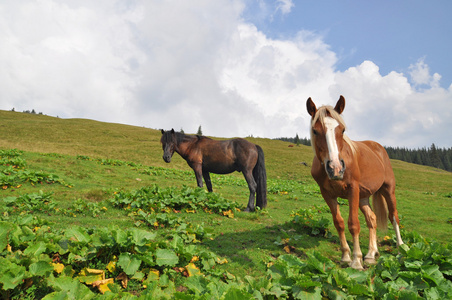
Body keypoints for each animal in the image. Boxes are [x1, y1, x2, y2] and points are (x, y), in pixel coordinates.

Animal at [306, 96, 404, 270]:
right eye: (315, 131)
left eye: (343, 130)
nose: (336, 168)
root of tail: (378, 148)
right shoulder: (327, 194)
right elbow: (339, 223)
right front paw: (346, 256)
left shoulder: (353, 189)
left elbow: (353, 224)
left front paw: (356, 261)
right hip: (363, 197)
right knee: (372, 219)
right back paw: (371, 254)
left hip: (388, 190)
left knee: (394, 216)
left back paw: (400, 249)